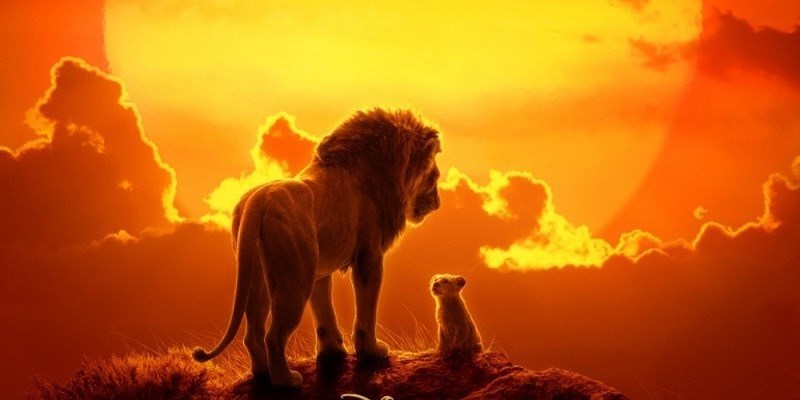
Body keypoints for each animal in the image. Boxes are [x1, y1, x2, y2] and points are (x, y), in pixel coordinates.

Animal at [192, 108, 442, 387]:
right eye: (434, 177)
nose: (438, 203)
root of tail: (258, 201)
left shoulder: (319, 269)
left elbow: (323, 311)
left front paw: (332, 352)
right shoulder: (369, 256)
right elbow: (366, 309)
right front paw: (372, 351)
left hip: (257, 276)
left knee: (253, 333)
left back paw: (262, 374)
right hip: (294, 280)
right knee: (274, 336)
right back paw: (286, 381)